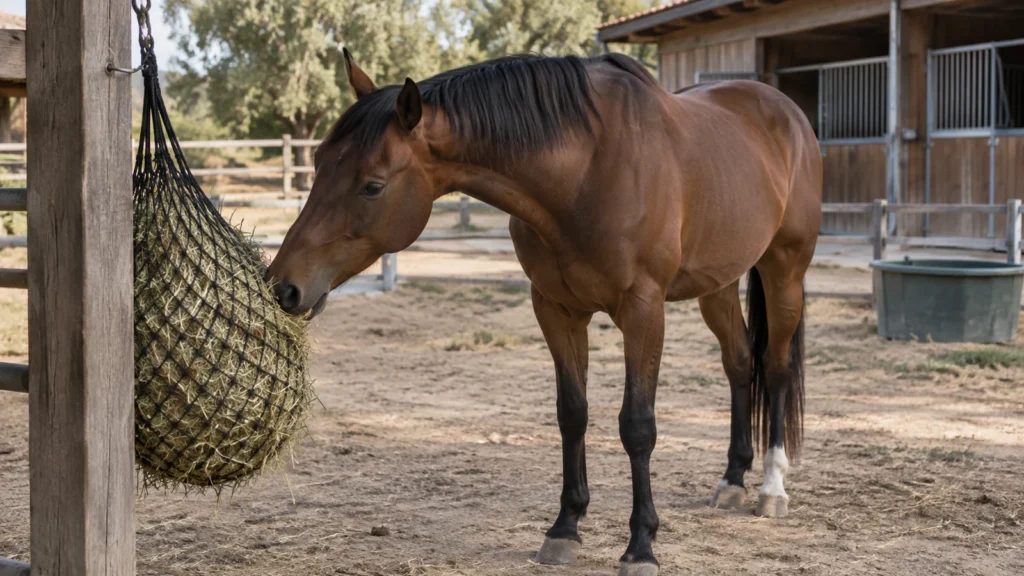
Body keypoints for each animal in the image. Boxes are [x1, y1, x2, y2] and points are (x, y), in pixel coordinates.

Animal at [267, 49, 821, 575]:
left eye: (373, 185)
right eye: (319, 164)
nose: (283, 287)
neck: (585, 173)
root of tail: (784, 110)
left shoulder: (643, 311)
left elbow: (637, 426)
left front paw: (640, 547)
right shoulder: (555, 309)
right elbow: (571, 414)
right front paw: (564, 529)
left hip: (784, 271)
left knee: (774, 367)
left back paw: (772, 488)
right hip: (719, 284)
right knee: (739, 362)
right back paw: (732, 479)